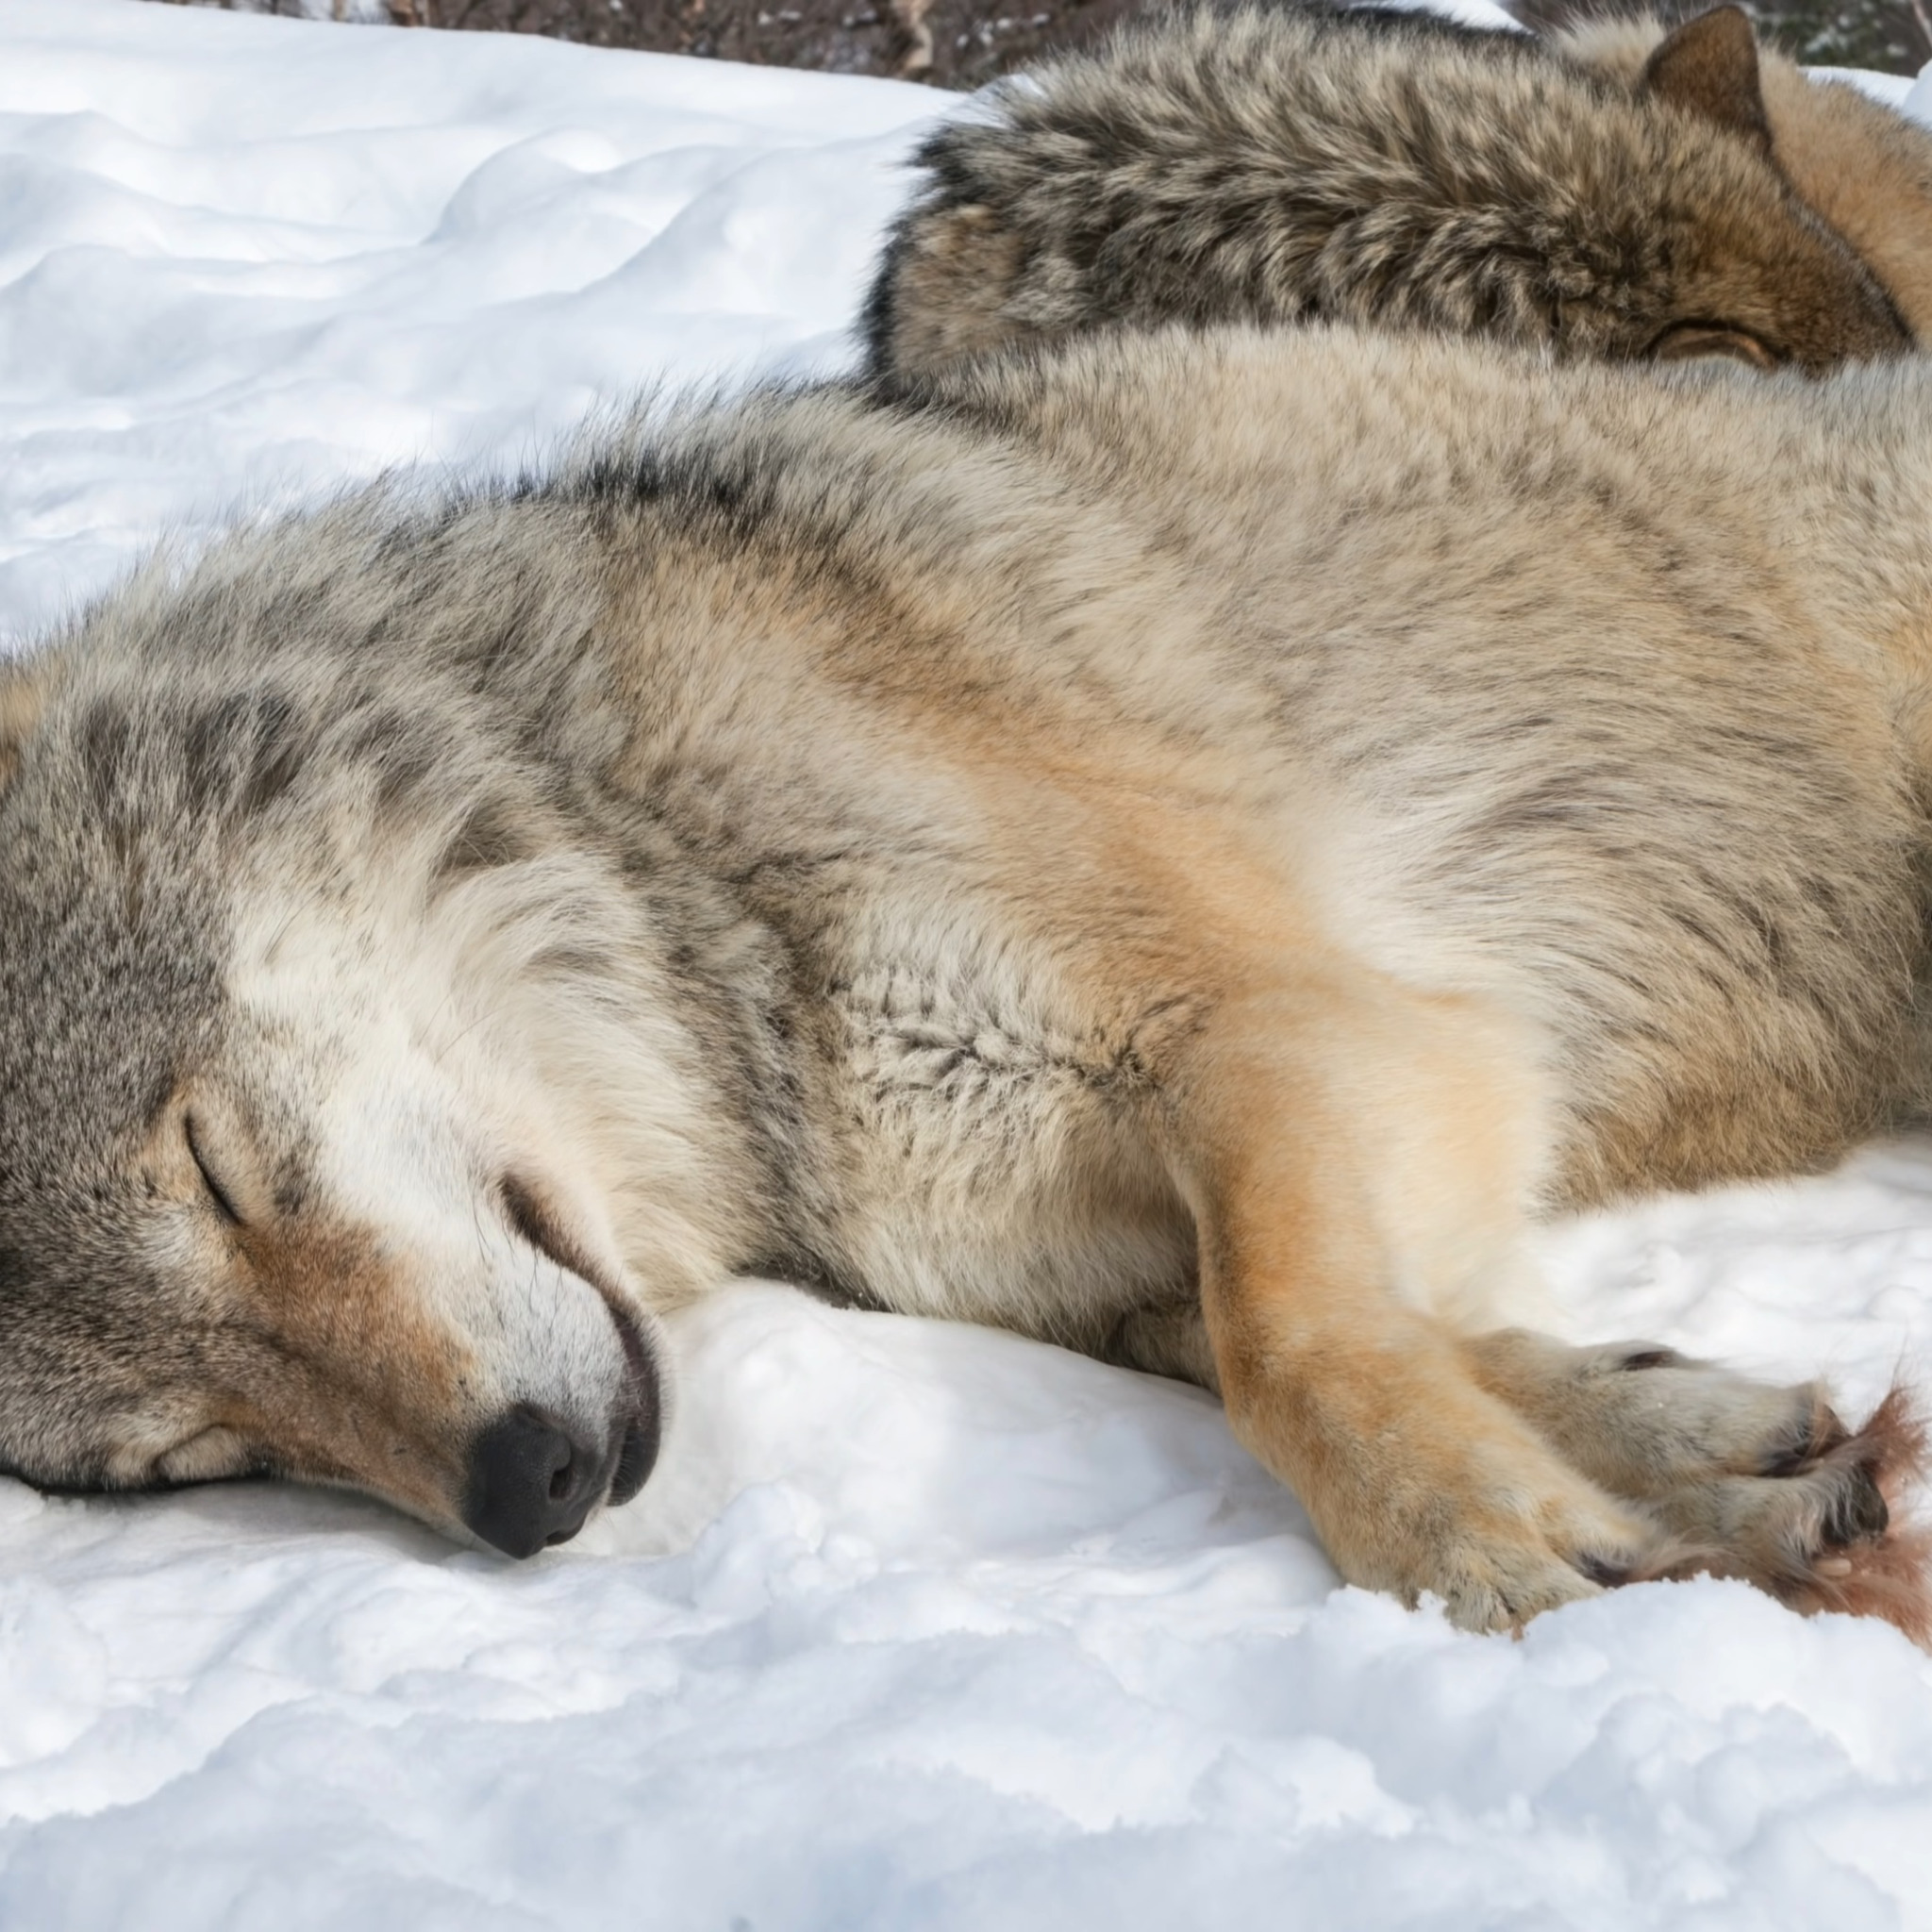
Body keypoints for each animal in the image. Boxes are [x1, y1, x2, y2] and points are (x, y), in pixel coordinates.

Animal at [4, 325, 1932, 1638]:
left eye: (218, 1169)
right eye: (199, 1455)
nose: (523, 1487)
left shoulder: (1290, 1026)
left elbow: (1287, 1339)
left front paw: (1464, 1532)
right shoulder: (1073, 1251)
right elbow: (1342, 1331)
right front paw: (1712, 1467)